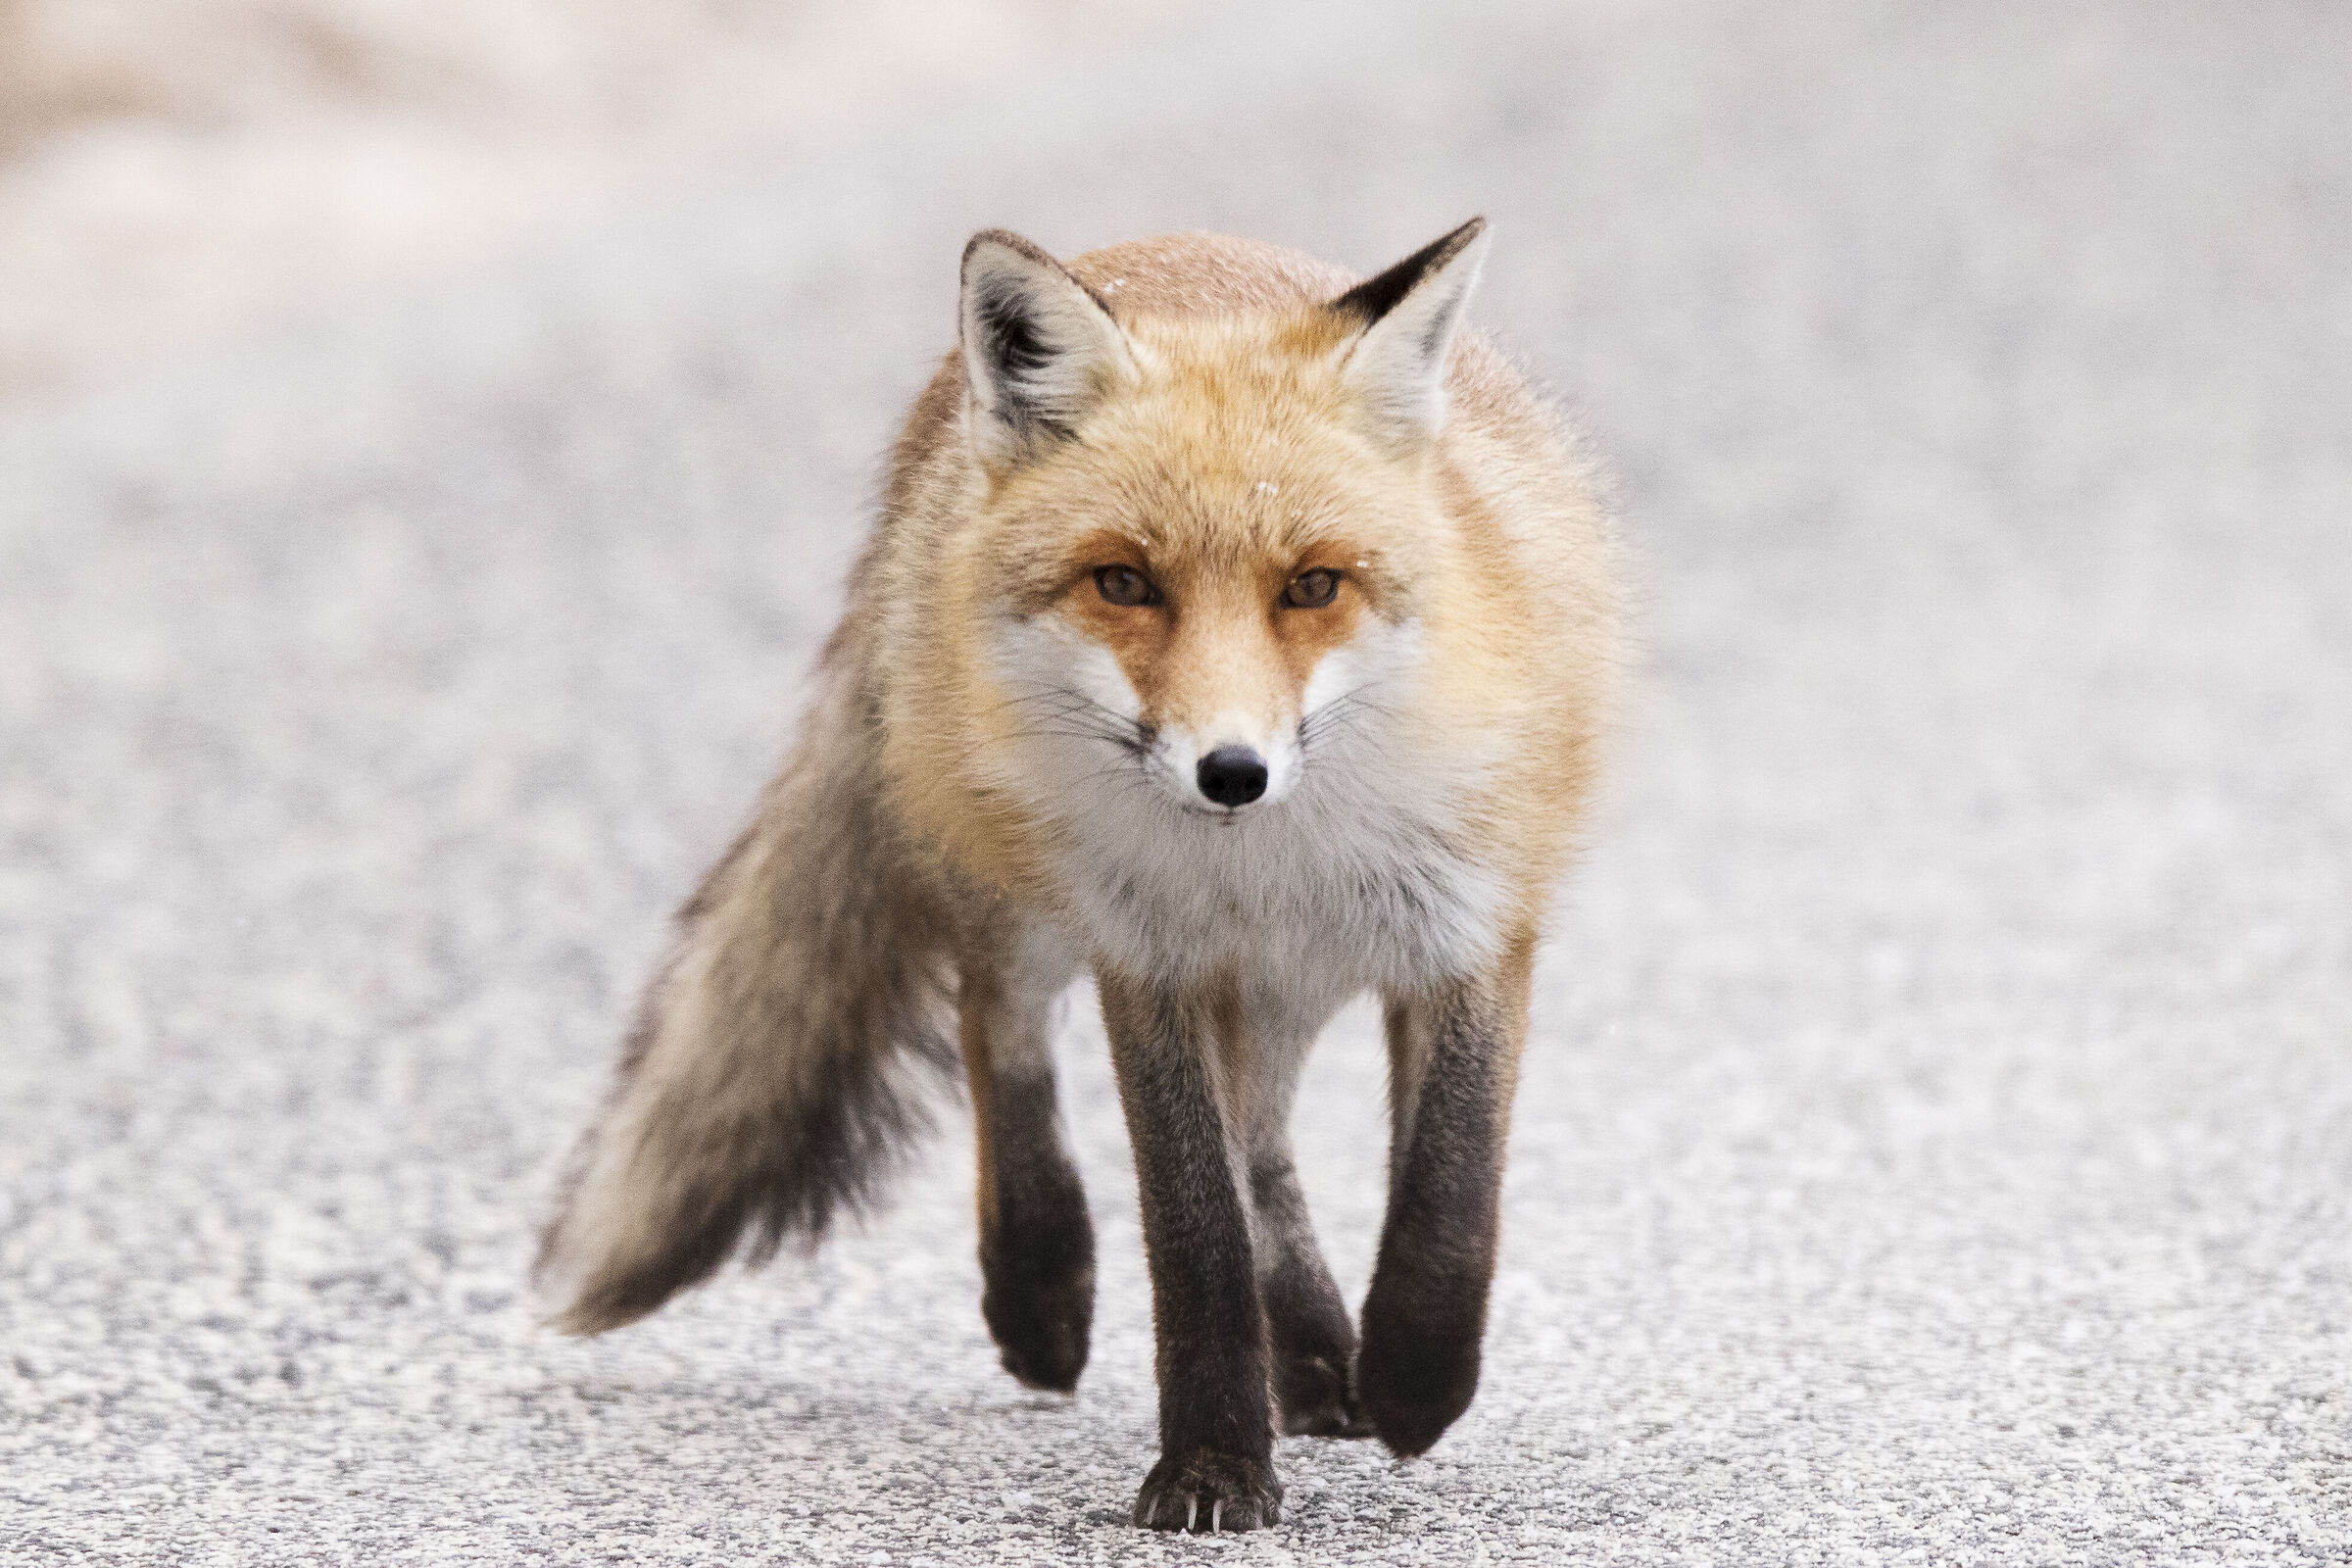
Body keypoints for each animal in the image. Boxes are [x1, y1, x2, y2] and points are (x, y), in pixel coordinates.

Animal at [533, 217, 1619, 1532]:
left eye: (1312, 585)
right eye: (1125, 582)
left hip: (1289, 982)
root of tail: (1161, 240)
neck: (1270, 860)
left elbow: (1448, 1199)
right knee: (1000, 1025)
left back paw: (1317, 1357)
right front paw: (1212, 1465)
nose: (1232, 771)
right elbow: (1193, 1229)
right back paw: (1043, 1287)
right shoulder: (1143, 958)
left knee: (1266, 1144)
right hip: (1025, 888)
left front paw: (1412, 1381)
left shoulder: (1471, 926)